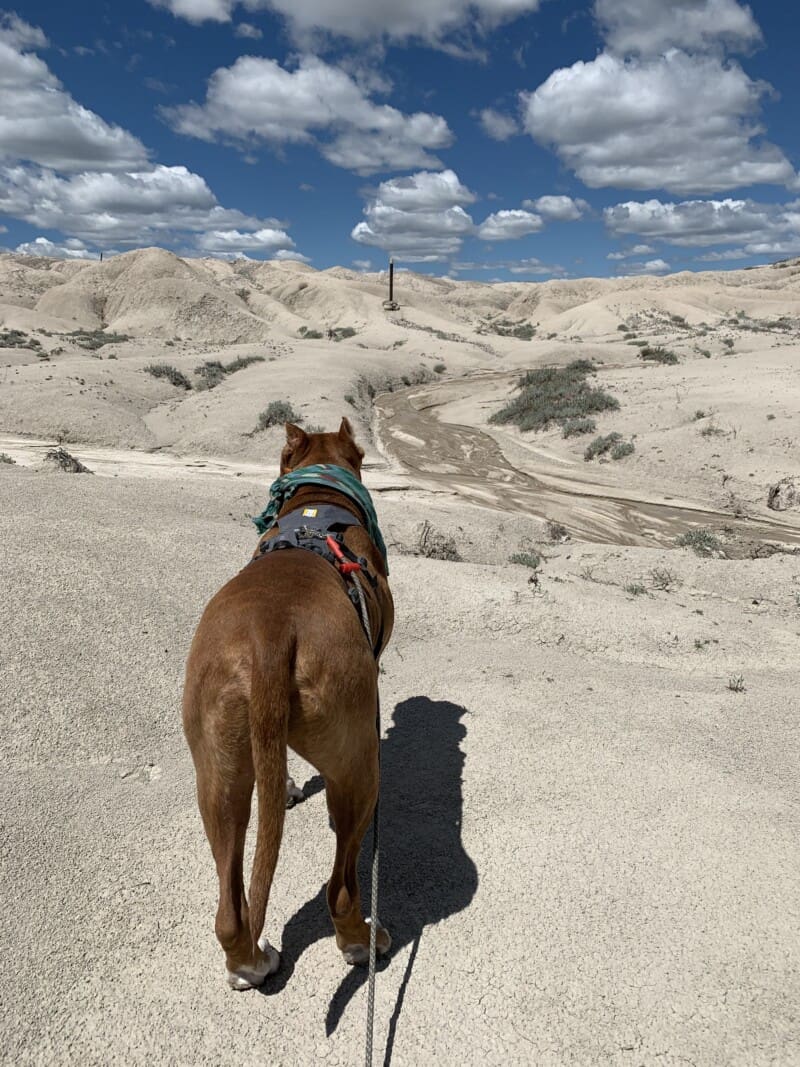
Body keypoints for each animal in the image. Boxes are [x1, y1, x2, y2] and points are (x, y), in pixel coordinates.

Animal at [182, 420, 394, 985]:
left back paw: (248, 962)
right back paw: (363, 941)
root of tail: (269, 634)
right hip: (357, 767)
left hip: (219, 768)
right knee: (340, 887)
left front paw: (291, 785)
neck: (318, 496)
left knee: (230, 906)